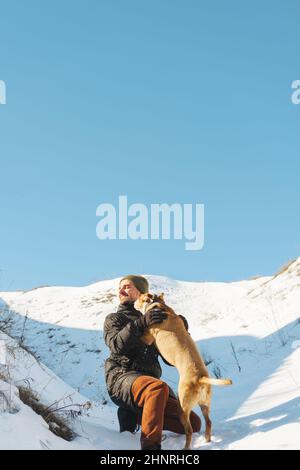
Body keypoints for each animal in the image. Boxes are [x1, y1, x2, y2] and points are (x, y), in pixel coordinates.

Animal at [134, 292, 232, 450]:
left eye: (140, 297)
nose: (134, 302)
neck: (159, 306)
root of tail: (200, 377)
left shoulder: (147, 337)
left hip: (183, 408)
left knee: (189, 430)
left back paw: (186, 447)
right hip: (204, 403)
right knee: (209, 422)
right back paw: (207, 440)